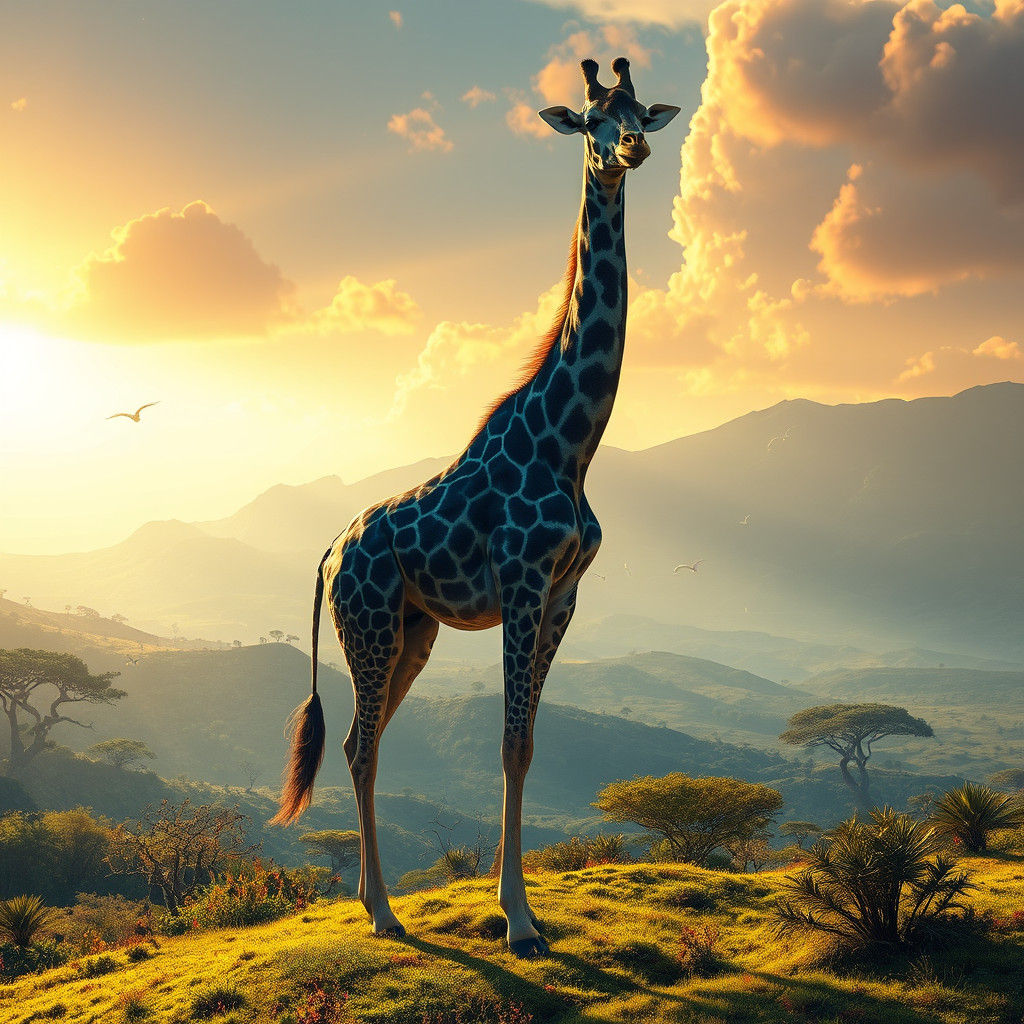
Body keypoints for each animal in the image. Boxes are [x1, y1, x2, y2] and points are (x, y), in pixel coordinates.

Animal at [271, 57, 679, 957]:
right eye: (593, 121)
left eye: (641, 114)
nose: (630, 151)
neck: (572, 445)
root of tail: (328, 553)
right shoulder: (523, 583)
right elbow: (508, 742)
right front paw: (518, 919)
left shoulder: (563, 595)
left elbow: (524, 745)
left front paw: (516, 903)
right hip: (370, 623)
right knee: (360, 747)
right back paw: (384, 912)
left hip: (412, 631)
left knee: (357, 741)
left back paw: (371, 900)